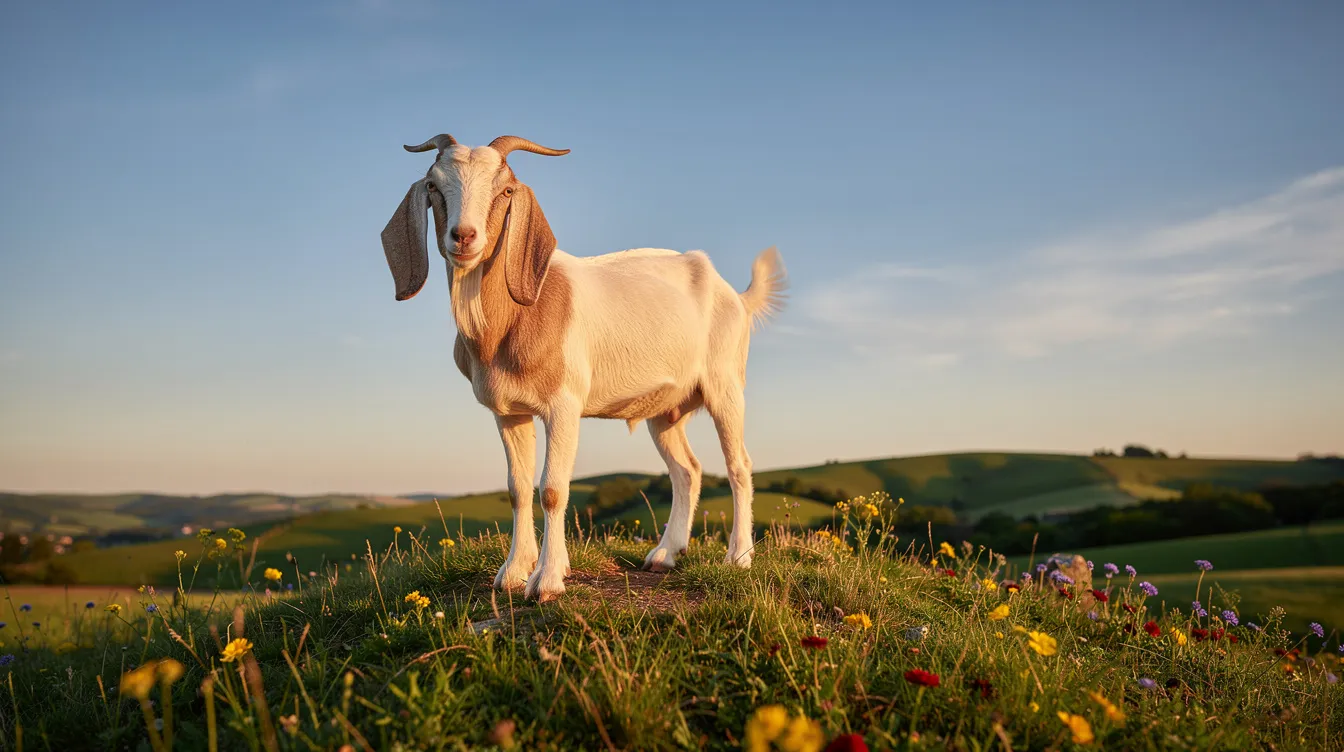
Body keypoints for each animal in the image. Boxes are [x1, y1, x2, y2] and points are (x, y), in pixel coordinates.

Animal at [380, 133, 787, 601]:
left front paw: (547, 580)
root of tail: (735, 295)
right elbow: (518, 489)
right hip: (665, 410)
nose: (463, 236)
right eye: (433, 185)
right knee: (687, 470)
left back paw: (738, 557)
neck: (513, 319)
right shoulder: (508, 413)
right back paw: (665, 554)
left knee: (739, 465)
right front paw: (512, 572)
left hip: (725, 386)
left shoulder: (564, 405)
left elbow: (553, 490)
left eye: (506, 190)